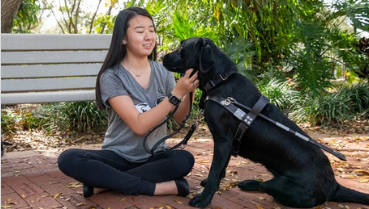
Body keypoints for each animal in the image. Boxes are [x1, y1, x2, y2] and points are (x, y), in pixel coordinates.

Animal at [162, 37, 368, 207]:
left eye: (181, 48)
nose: (163, 57)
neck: (219, 82)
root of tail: (334, 186)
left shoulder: (222, 141)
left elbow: (214, 172)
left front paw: (203, 199)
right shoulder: (227, 144)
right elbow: (222, 168)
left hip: (280, 185)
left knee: (266, 187)